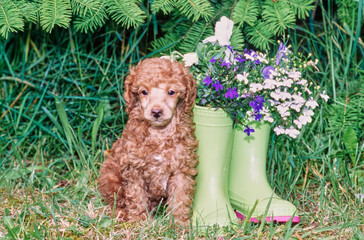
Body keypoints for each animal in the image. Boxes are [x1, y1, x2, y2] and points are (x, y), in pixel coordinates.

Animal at [98, 57, 198, 226]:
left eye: (171, 92)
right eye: (144, 92)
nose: (156, 112)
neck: (159, 133)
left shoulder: (181, 168)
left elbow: (180, 198)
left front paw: (178, 223)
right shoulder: (133, 168)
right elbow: (136, 196)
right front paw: (140, 221)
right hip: (109, 176)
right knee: (117, 200)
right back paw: (121, 213)